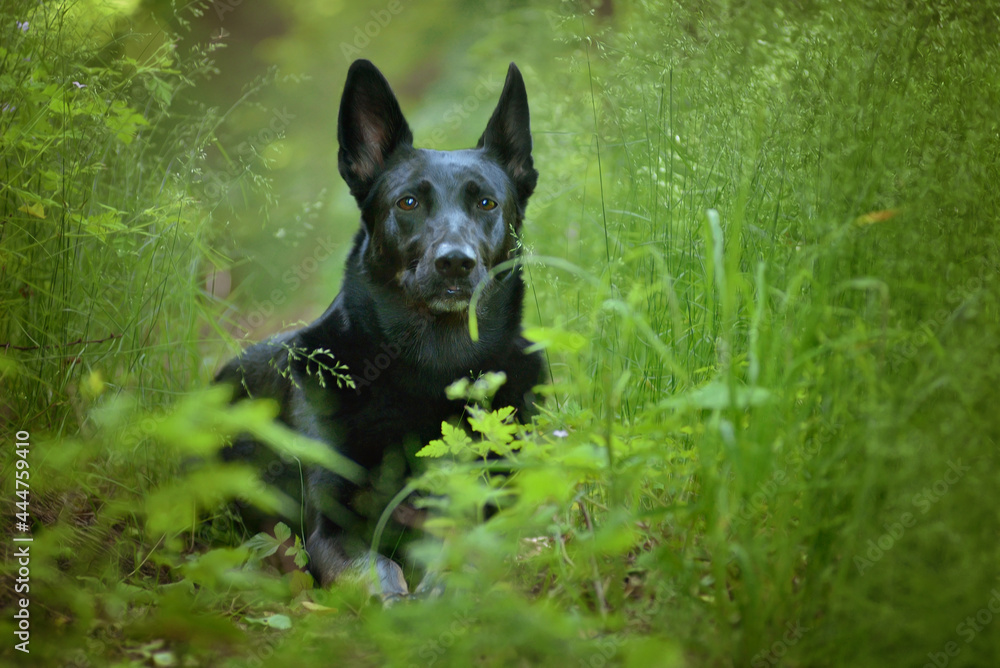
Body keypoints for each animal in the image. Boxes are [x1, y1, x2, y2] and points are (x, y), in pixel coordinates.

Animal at [218, 60, 544, 596]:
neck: (434, 365)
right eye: (408, 203)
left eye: (487, 204)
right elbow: (379, 573)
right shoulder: (331, 529)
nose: (455, 263)